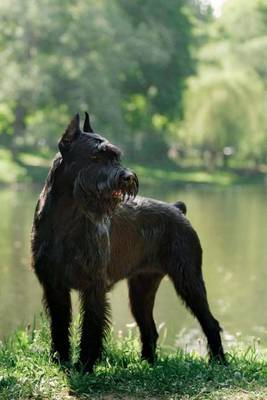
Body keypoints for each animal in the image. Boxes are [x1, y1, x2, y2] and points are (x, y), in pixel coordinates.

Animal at [31, 112, 226, 372]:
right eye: (95, 156)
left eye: (116, 156)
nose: (127, 177)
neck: (66, 217)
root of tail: (177, 209)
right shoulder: (54, 287)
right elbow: (59, 327)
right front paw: (61, 360)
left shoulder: (93, 287)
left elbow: (91, 328)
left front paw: (85, 365)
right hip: (142, 289)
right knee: (150, 329)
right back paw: (149, 364)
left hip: (189, 281)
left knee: (210, 322)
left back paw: (220, 362)